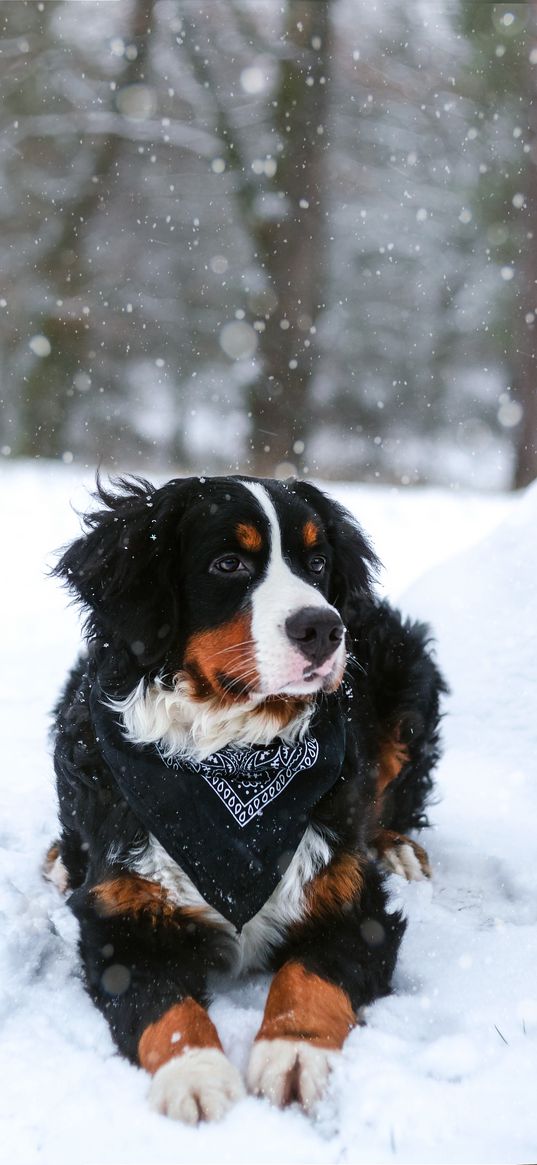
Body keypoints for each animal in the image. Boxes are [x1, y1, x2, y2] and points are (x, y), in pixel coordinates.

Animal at [46, 470, 444, 1118]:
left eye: (316, 561)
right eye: (228, 563)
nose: (323, 628)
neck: (234, 752)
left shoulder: (353, 901)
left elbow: (311, 975)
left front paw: (295, 1052)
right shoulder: (121, 922)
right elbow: (163, 1005)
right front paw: (194, 1074)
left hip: (407, 675)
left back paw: (396, 847)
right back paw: (61, 858)